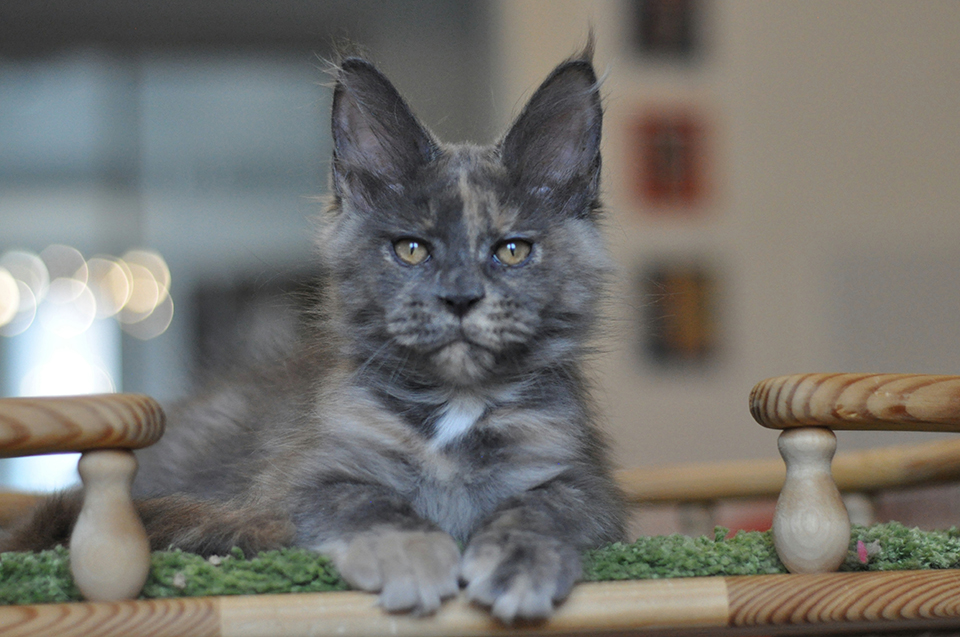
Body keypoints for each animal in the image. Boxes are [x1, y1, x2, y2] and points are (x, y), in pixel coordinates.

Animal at [3, 48, 628, 620]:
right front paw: (410, 555)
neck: (457, 407)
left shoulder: (587, 481)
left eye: (512, 250)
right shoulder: (295, 477)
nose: (459, 298)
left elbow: (545, 506)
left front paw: (519, 561)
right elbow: (363, 498)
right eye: (411, 249)